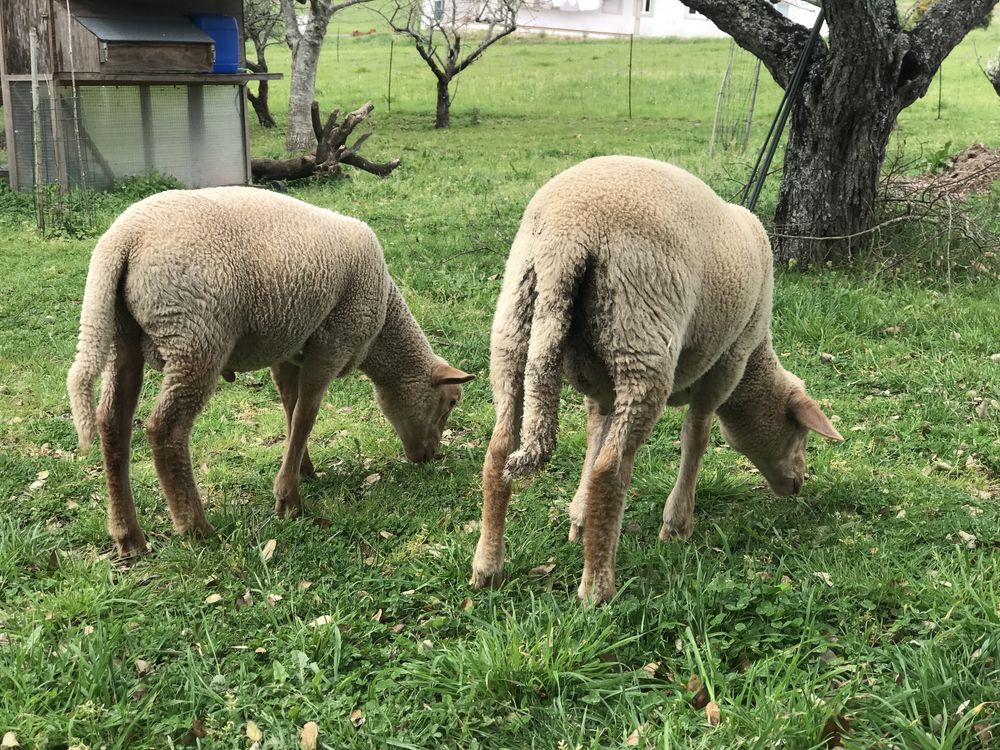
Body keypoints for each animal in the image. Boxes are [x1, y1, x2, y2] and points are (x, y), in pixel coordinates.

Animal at [68, 188, 474, 560]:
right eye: (451, 402)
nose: (429, 455)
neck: (382, 331)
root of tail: (123, 241)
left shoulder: (290, 349)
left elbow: (291, 409)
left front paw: (303, 470)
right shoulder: (332, 343)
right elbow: (308, 413)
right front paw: (289, 500)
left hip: (125, 338)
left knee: (113, 423)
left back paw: (128, 536)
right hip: (196, 336)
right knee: (165, 429)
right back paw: (195, 528)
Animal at [470, 157, 844, 604]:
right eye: (799, 433)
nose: (798, 485)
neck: (755, 363)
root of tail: (567, 236)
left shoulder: (602, 388)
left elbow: (595, 435)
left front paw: (580, 519)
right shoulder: (728, 360)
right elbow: (696, 436)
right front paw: (677, 525)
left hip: (514, 327)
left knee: (498, 451)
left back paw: (488, 567)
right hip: (641, 336)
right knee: (611, 470)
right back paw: (597, 589)